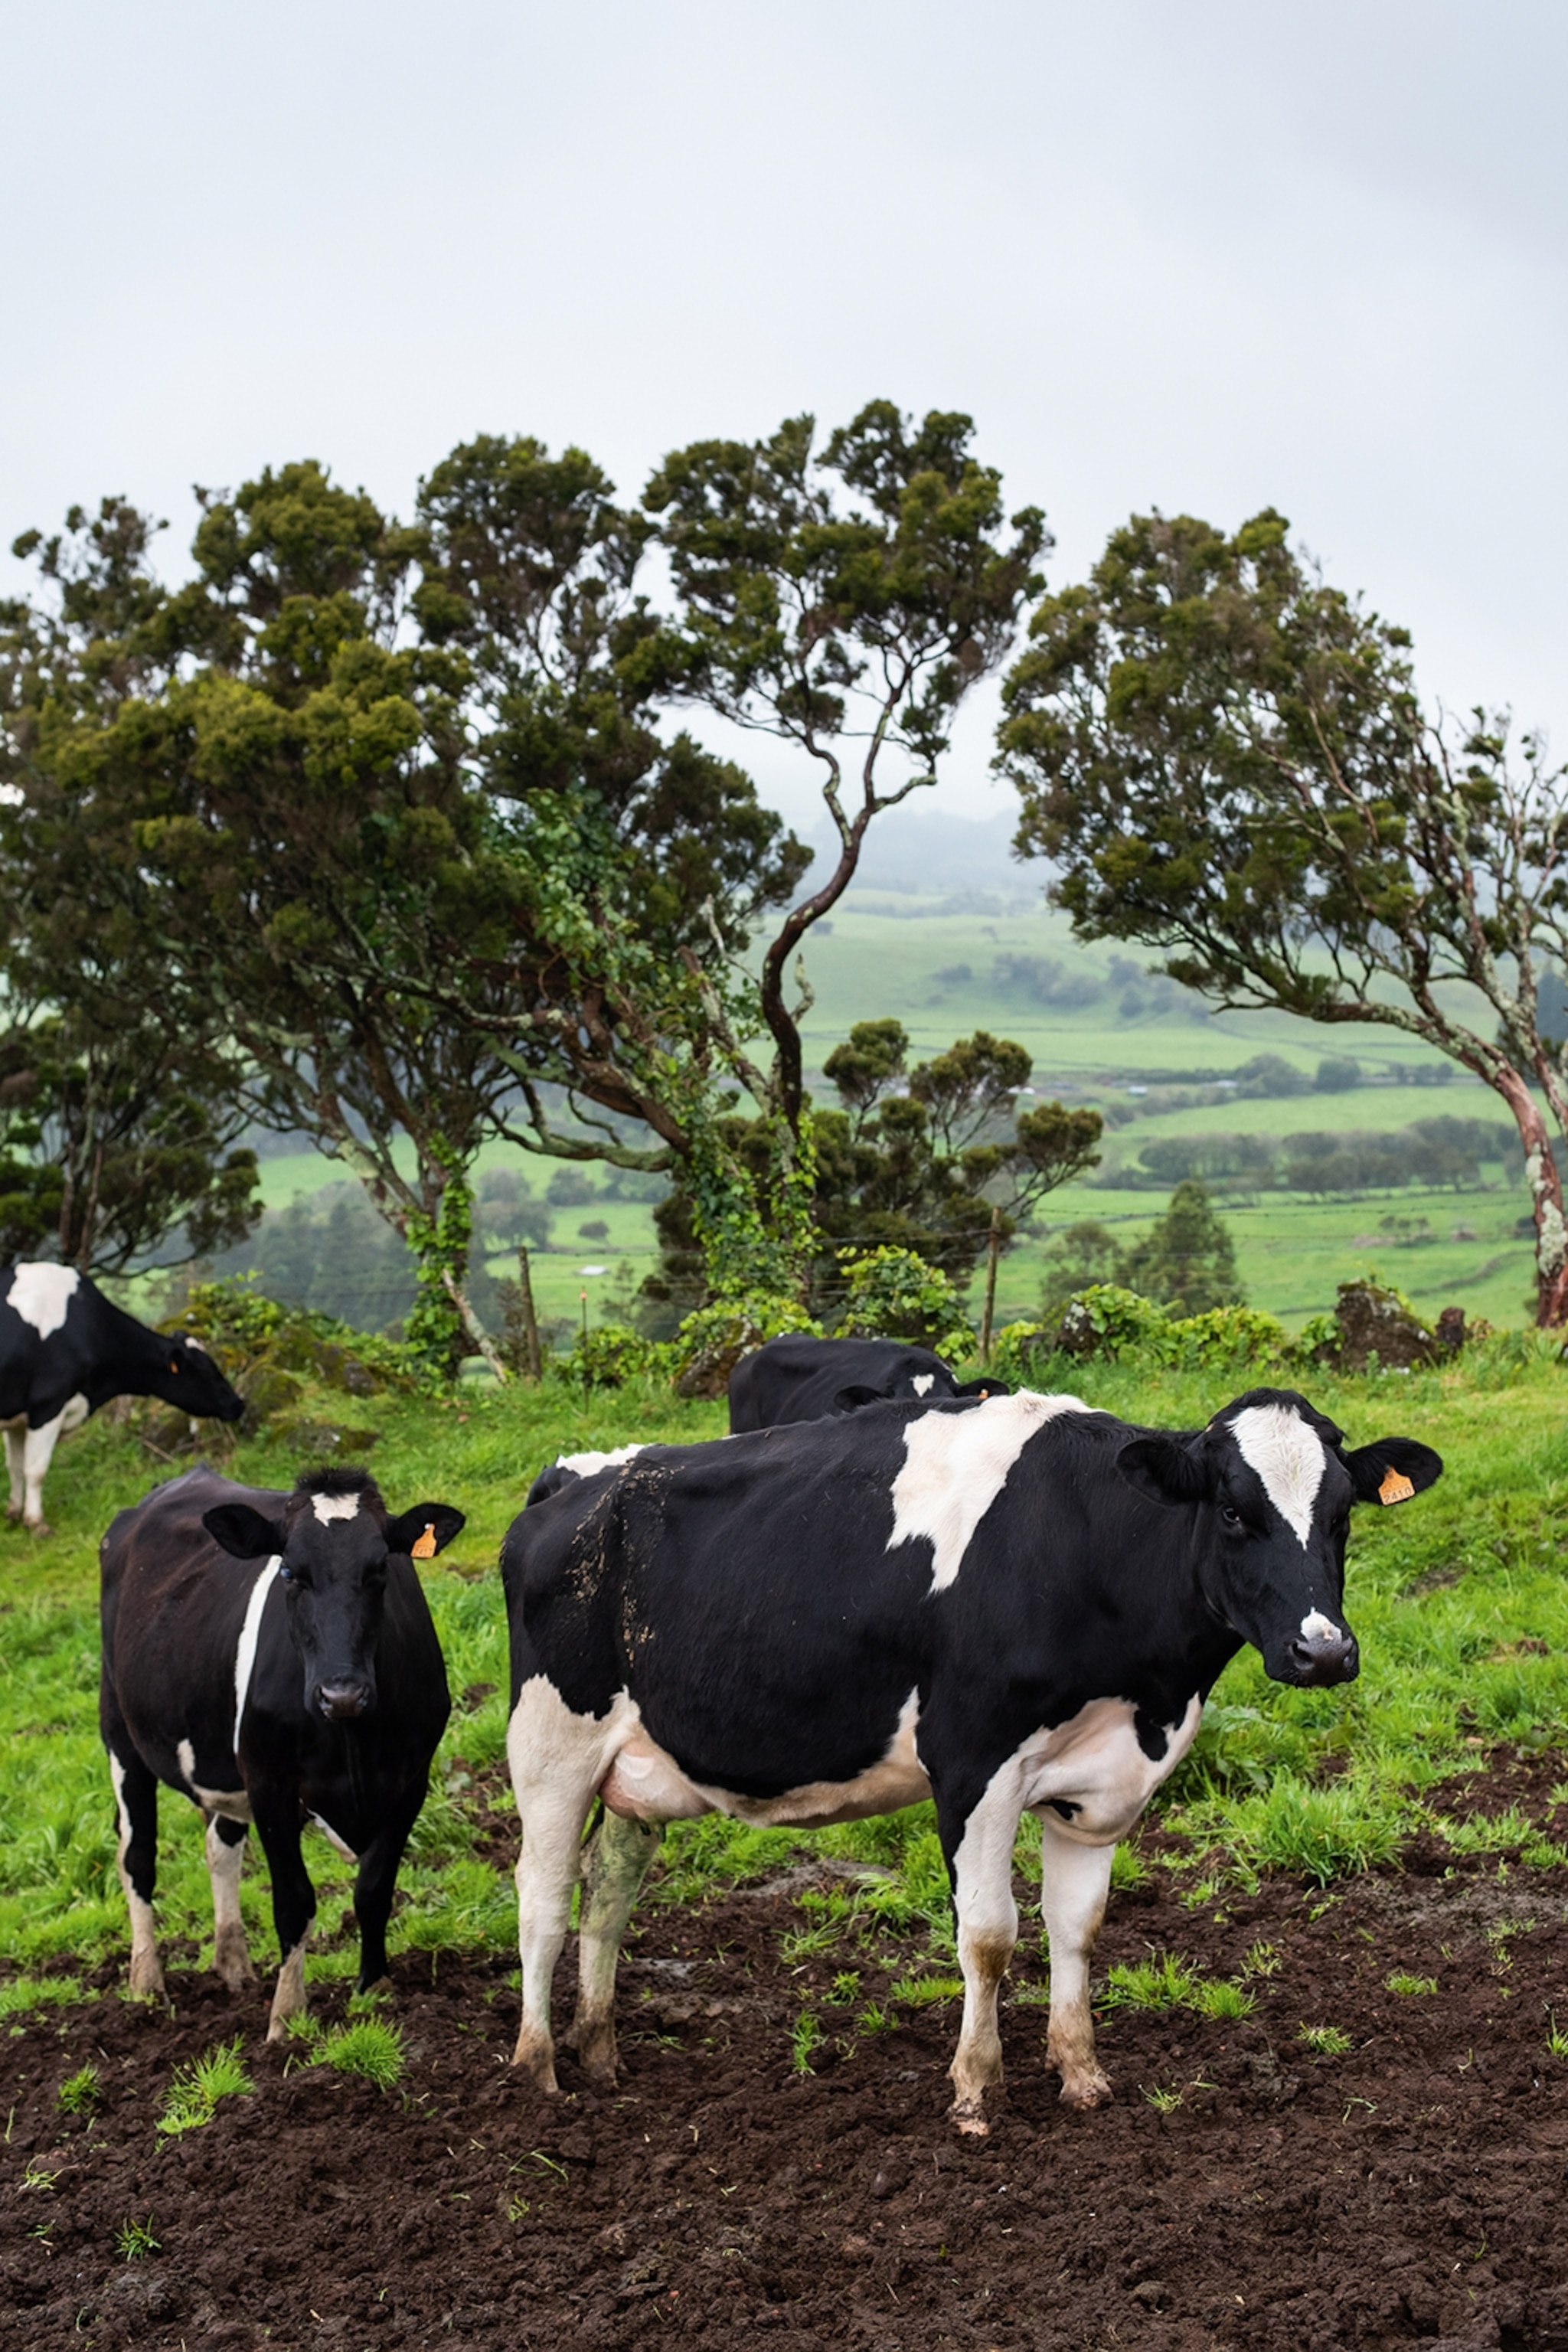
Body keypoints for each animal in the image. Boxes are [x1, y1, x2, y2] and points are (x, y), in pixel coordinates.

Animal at [2, 1262, 244, 1535]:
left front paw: (13, 1513)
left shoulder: (18, 1416)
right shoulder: (48, 1404)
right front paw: (36, 1523)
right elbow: (36, 1470)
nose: (238, 1403)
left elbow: (15, 1466)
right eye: (206, 1371)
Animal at [100, 1464, 464, 2038]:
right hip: (119, 1728)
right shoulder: (270, 1782)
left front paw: (374, 1989)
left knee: (220, 1844)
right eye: (291, 1573)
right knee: (136, 1855)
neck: (353, 1742)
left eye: (380, 1569)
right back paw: (146, 1983)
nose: (342, 1693)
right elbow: (294, 1900)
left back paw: (233, 1964)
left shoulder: (411, 1780)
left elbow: (374, 1889)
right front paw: (286, 2017)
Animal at [500, 1385, 1441, 2133]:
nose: (1324, 1651)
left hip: (635, 1770)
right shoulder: (971, 1766)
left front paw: (1080, 2071)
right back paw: (537, 2067)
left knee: (607, 1893)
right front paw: (976, 2090)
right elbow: (988, 1936)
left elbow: (1077, 1925)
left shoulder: (1101, 1783)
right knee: (543, 1898)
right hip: (549, 1745)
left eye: (1341, 1516)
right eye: (1236, 1512)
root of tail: (575, 1479)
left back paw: (600, 2053)